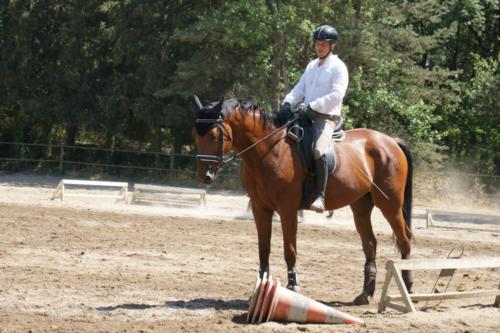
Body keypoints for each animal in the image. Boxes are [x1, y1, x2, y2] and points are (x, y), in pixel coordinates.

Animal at [191, 96, 414, 304]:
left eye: (213, 135)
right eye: (195, 135)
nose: (204, 176)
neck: (269, 151)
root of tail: (390, 141)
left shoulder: (287, 209)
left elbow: (290, 250)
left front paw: (293, 287)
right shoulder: (260, 208)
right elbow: (264, 248)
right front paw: (259, 288)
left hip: (390, 205)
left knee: (404, 240)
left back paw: (408, 287)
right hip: (360, 206)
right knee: (370, 244)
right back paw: (365, 293)